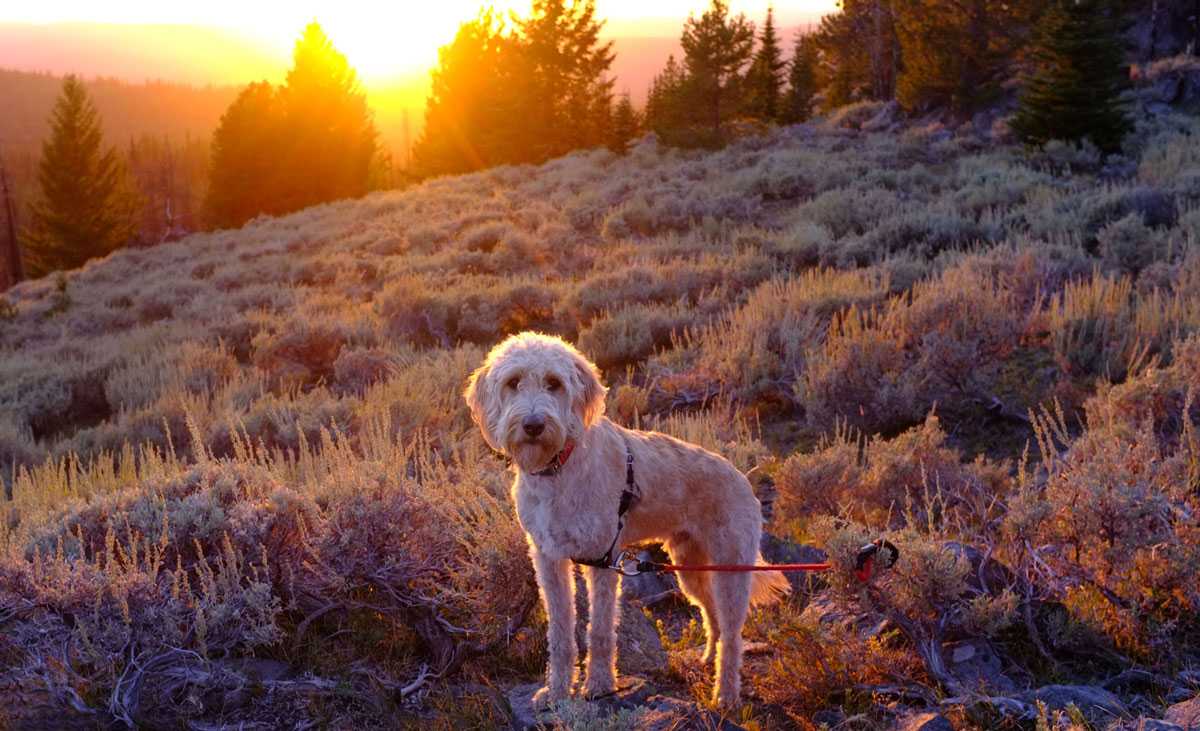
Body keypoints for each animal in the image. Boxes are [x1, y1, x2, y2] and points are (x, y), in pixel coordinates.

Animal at [463, 331, 792, 705]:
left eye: (554, 383)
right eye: (513, 382)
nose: (533, 425)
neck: (559, 467)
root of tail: (742, 477)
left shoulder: (602, 558)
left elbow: (601, 629)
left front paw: (599, 684)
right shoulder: (548, 558)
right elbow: (560, 631)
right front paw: (557, 690)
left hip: (731, 569)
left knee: (734, 636)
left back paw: (725, 696)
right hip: (690, 566)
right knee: (713, 616)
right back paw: (709, 659)